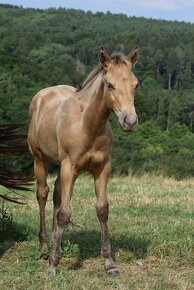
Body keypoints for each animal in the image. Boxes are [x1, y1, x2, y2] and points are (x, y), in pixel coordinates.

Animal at [27, 46, 139, 276]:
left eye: (136, 84)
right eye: (110, 84)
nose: (130, 121)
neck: (87, 125)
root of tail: (42, 95)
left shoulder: (102, 168)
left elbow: (102, 210)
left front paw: (109, 264)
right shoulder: (69, 168)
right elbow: (65, 213)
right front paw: (53, 265)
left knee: (57, 195)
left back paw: (56, 242)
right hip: (39, 160)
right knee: (43, 194)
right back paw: (44, 246)